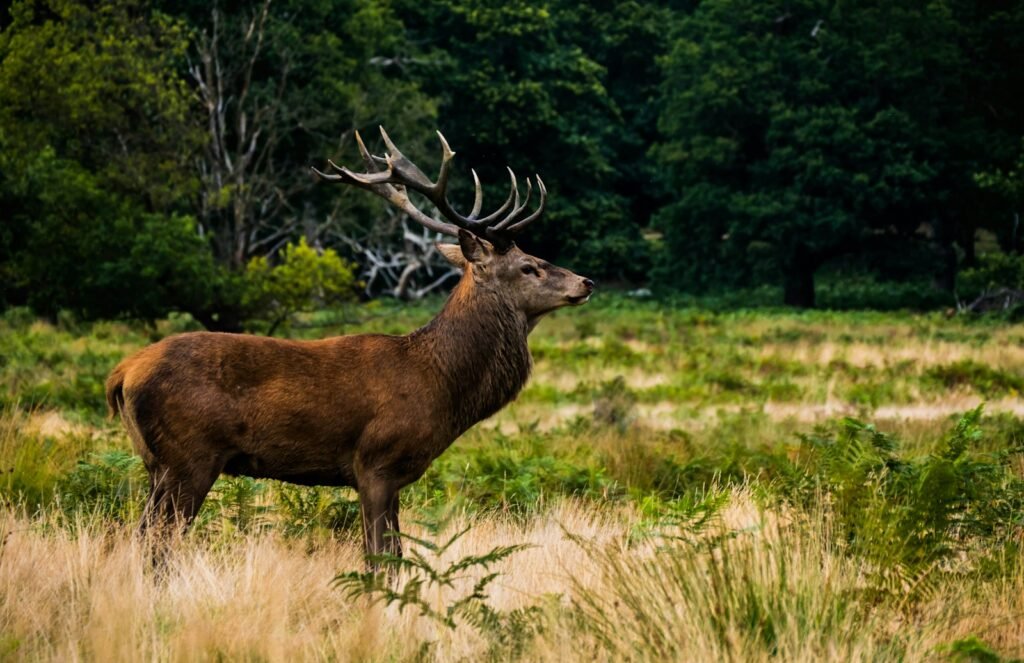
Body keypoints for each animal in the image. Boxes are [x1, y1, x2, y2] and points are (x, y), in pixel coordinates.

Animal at [105, 128, 594, 560]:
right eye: (529, 266)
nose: (586, 281)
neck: (440, 384)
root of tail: (122, 374)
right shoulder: (375, 462)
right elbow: (380, 557)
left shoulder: (393, 475)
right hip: (189, 456)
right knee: (157, 545)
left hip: (157, 464)